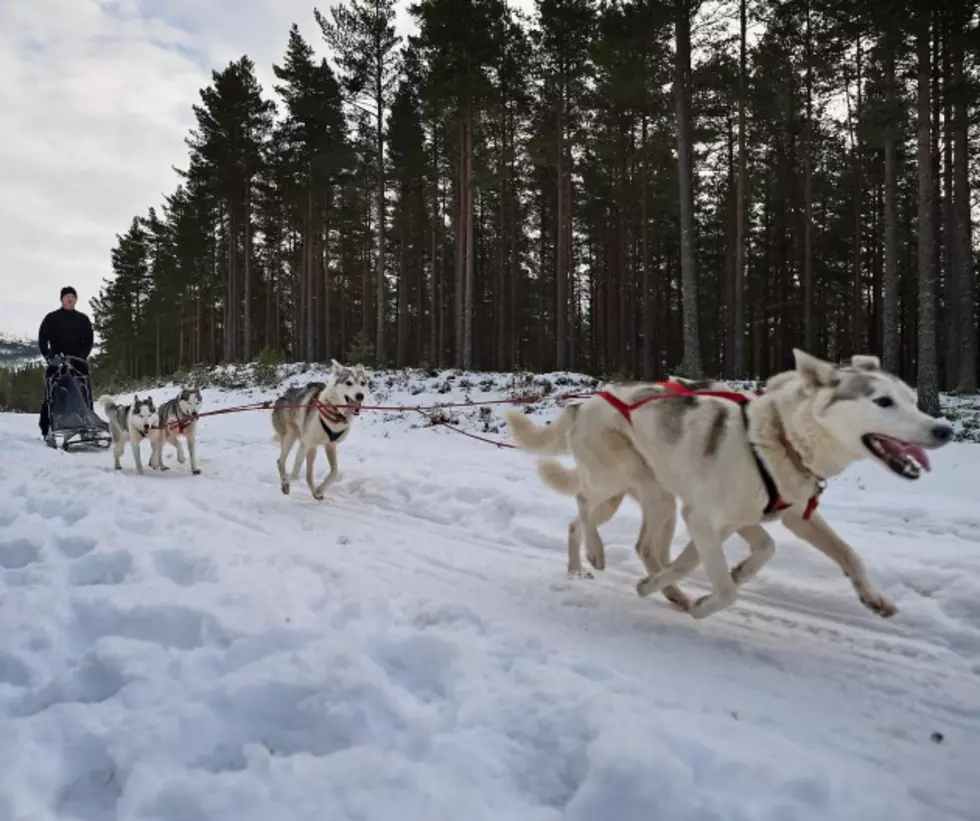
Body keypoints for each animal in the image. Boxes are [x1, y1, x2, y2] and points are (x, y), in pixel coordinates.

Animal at [272, 358, 372, 500]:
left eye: (362, 383)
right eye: (348, 383)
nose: (360, 395)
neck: (335, 413)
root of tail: (283, 395)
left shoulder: (330, 445)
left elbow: (334, 472)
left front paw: (321, 489)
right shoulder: (305, 443)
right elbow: (295, 473)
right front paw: (286, 481)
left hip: (312, 450)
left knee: (308, 475)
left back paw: (315, 492)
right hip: (290, 438)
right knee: (281, 462)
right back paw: (285, 482)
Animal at [510, 350, 952, 620]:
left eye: (912, 399)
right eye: (883, 402)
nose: (944, 429)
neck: (780, 439)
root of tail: (588, 401)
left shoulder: (777, 518)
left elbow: (833, 553)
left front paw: (873, 598)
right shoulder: (705, 519)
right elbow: (723, 588)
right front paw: (704, 601)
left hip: (657, 499)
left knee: (626, 539)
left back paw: (635, 582)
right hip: (614, 480)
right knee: (583, 504)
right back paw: (597, 555)